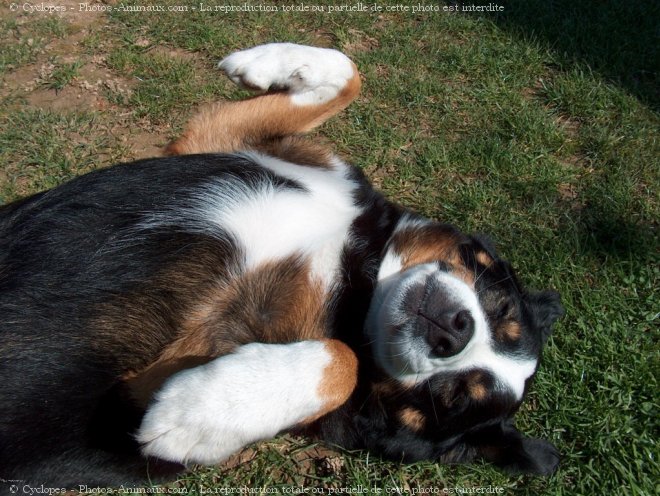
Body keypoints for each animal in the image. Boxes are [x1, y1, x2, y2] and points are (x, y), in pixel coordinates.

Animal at [1, 42, 568, 488]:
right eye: (500, 304)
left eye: (452, 399)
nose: (454, 329)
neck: (356, 266)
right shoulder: (211, 141)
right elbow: (349, 71)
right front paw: (267, 64)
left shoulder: (121, 409)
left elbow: (344, 359)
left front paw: (199, 413)